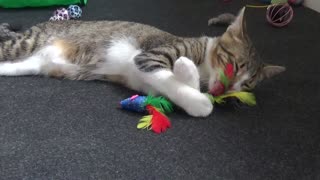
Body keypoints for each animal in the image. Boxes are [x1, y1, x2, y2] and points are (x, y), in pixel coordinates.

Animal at [0, 7, 284, 116]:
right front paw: (200, 98)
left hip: (32, 64)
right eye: (234, 64)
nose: (228, 88)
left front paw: (189, 78)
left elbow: (179, 87)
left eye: (246, 86)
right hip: (23, 44)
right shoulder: (148, 58)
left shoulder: (148, 86)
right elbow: (194, 95)